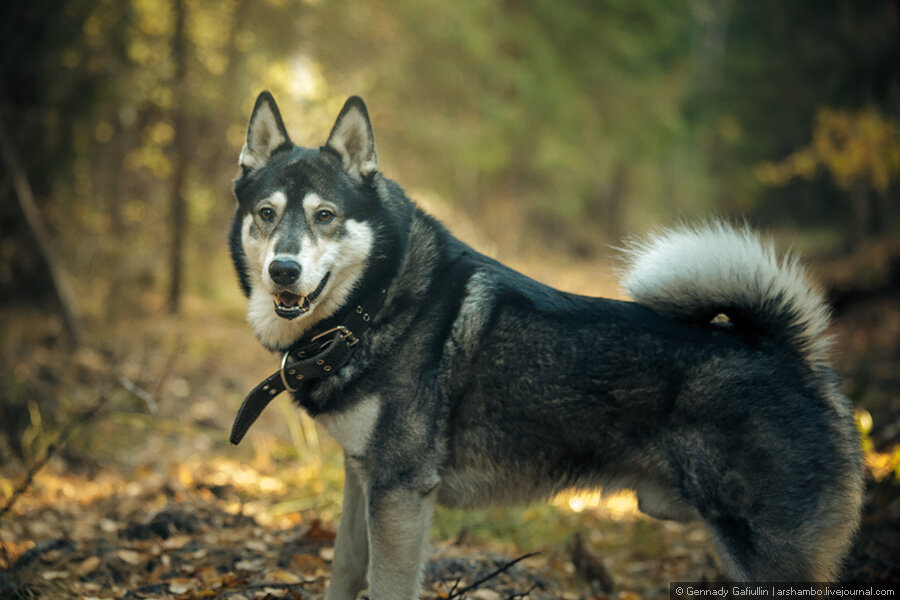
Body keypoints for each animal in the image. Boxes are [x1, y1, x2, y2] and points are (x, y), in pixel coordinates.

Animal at [229, 91, 860, 596]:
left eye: (325, 216)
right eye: (266, 213)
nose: (283, 270)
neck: (376, 303)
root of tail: (787, 351)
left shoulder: (400, 493)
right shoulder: (364, 480)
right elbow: (343, 571)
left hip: (769, 555)